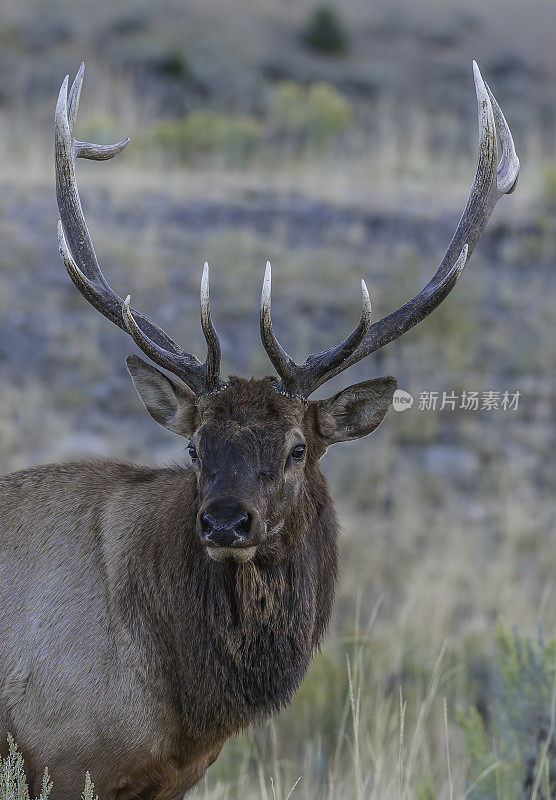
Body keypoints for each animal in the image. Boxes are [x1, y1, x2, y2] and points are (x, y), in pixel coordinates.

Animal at [1, 64, 520, 800]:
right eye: (194, 447)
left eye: (298, 448)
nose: (225, 522)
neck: (184, 705)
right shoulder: (61, 757)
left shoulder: (167, 779)